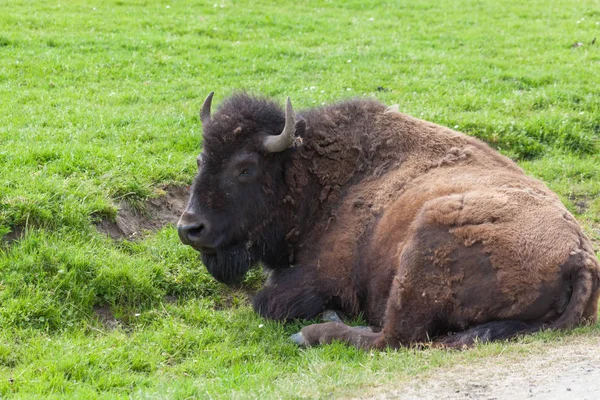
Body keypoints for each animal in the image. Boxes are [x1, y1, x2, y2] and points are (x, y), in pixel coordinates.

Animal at [178, 92, 600, 348]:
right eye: (201, 159)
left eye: (246, 168)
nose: (189, 228)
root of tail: (579, 255)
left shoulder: (319, 276)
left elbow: (265, 302)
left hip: (424, 244)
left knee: (392, 337)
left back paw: (313, 332)